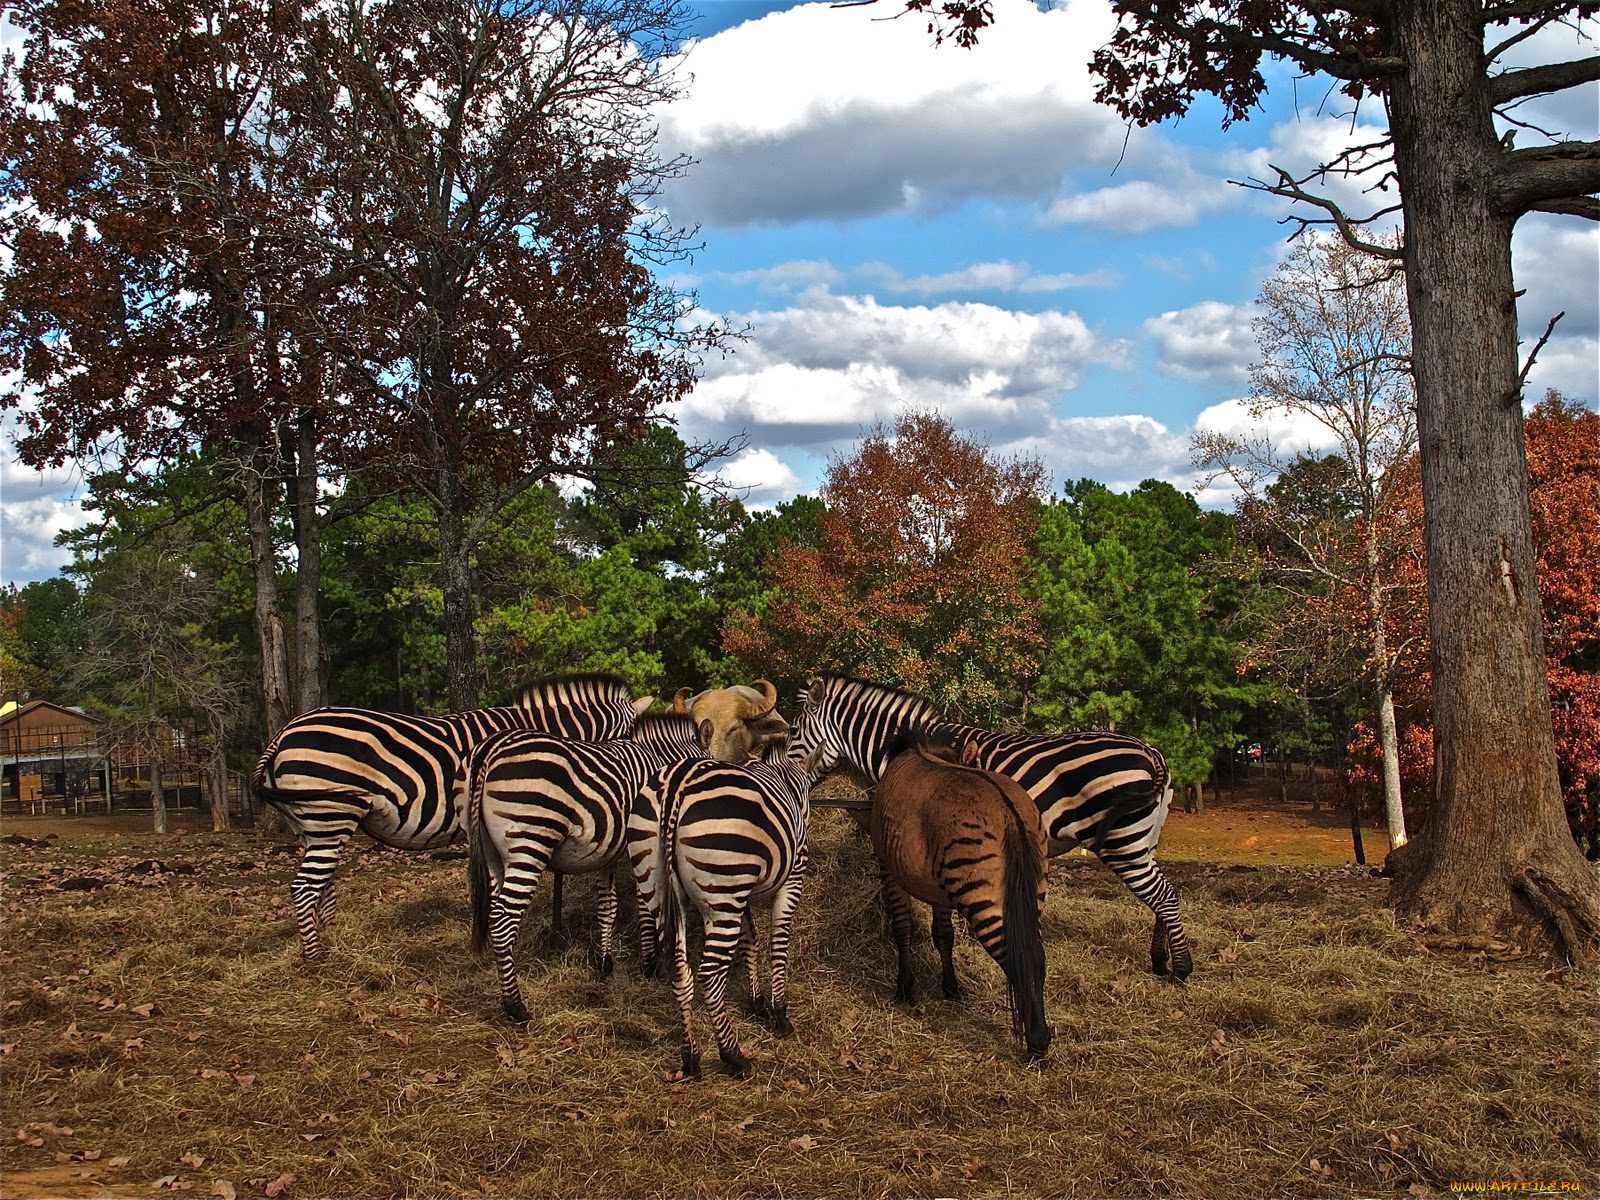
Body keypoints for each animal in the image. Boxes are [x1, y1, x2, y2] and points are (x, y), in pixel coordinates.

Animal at [249, 678, 649, 966]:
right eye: (629, 745)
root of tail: (283, 733)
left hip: (309, 825)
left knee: (322, 883)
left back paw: (328, 937)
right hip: (330, 814)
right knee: (304, 887)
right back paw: (316, 958)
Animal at [467, 713, 707, 1024]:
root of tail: (492, 747)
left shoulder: (606, 854)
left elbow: (607, 906)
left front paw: (605, 964)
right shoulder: (642, 847)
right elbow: (644, 907)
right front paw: (649, 965)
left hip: (492, 852)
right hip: (529, 841)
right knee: (502, 920)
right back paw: (515, 1005)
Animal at [652, 732, 825, 1081]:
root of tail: (679, 785)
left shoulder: (742, 890)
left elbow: (750, 939)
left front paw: (756, 1002)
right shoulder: (791, 878)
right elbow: (777, 942)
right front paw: (779, 1013)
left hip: (668, 886)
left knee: (681, 971)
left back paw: (691, 1059)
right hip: (724, 891)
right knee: (708, 974)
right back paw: (733, 1056)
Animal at [793, 678, 1196, 985]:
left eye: (794, 733)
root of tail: (1151, 753)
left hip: (1122, 843)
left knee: (1165, 897)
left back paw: (1181, 969)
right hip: (1146, 840)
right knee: (1163, 896)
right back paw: (1160, 960)